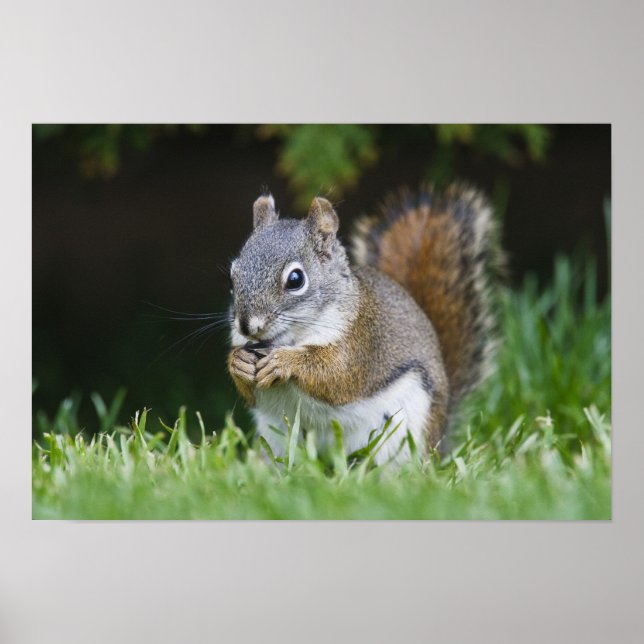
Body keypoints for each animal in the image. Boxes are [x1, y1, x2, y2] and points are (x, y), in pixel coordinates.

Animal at [227, 185, 500, 464]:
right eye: (233, 275)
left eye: (295, 279)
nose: (247, 326)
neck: (291, 338)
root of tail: (440, 439)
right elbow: (249, 392)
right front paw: (239, 363)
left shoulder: (361, 343)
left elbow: (336, 376)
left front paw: (283, 362)